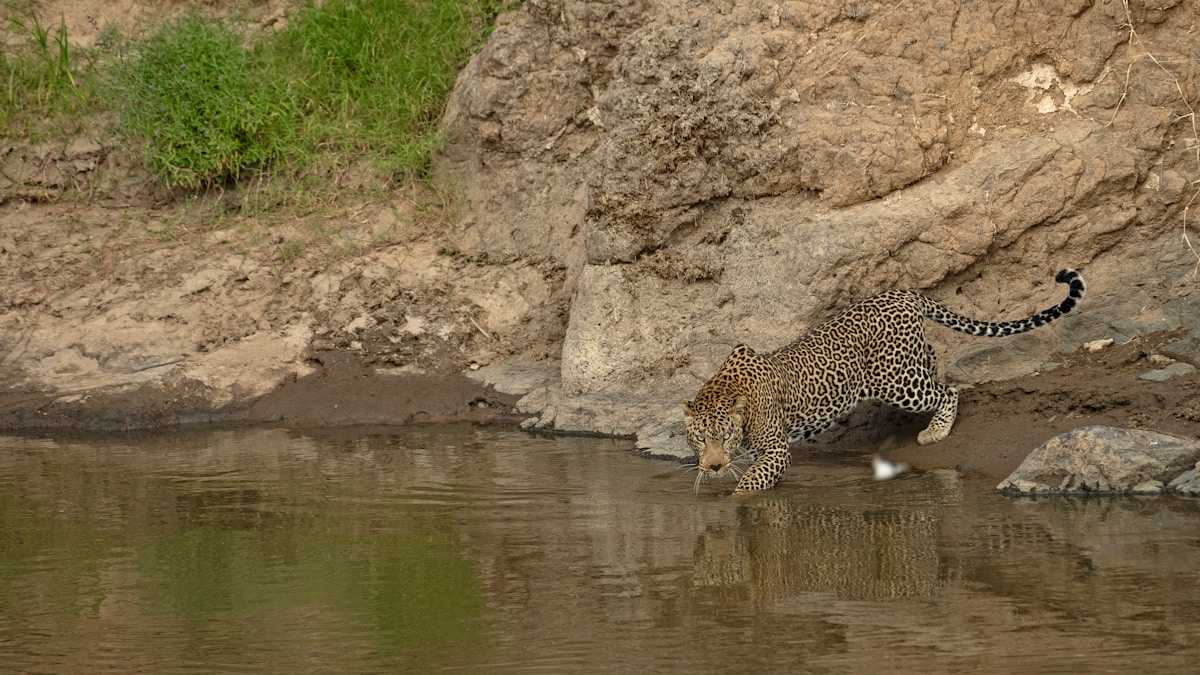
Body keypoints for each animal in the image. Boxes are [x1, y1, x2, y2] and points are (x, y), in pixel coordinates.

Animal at [683, 268, 1086, 494]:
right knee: (933, 361)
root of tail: (902, 293)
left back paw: (935, 431)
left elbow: (750, 486)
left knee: (947, 391)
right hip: (910, 360)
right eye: (700, 439)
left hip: (895, 380)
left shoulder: (776, 450)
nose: (714, 466)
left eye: (726, 436)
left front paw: (734, 500)